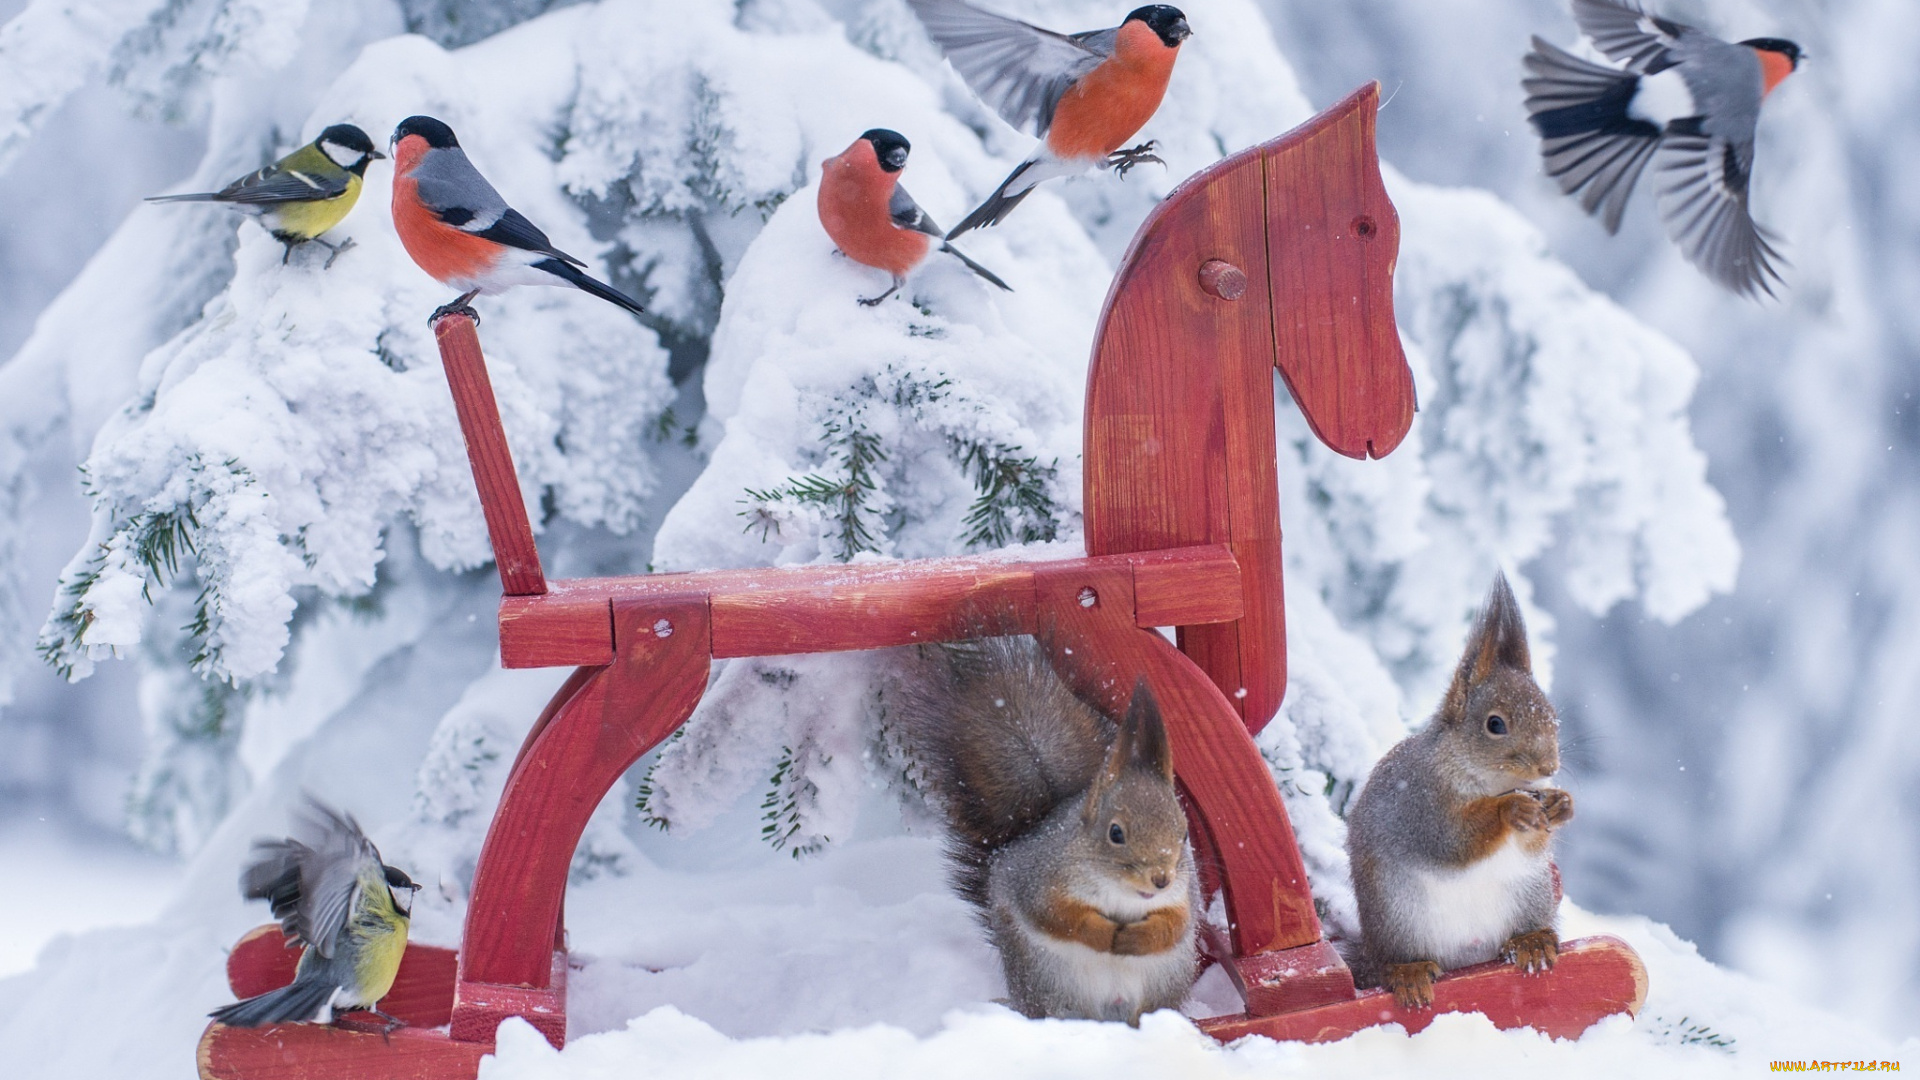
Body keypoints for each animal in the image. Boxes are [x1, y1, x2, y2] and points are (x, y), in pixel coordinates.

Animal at [898, 634, 1198, 1022]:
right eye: (1116, 833)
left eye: (1184, 833)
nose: (1161, 879)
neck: (1120, 893)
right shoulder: (1037, 880)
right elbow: (1058, 917)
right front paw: (1105, 934)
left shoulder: (1183, 896)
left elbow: (1174, 926)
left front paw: (1136, 938)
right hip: (1044, 979)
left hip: (1165, 984)